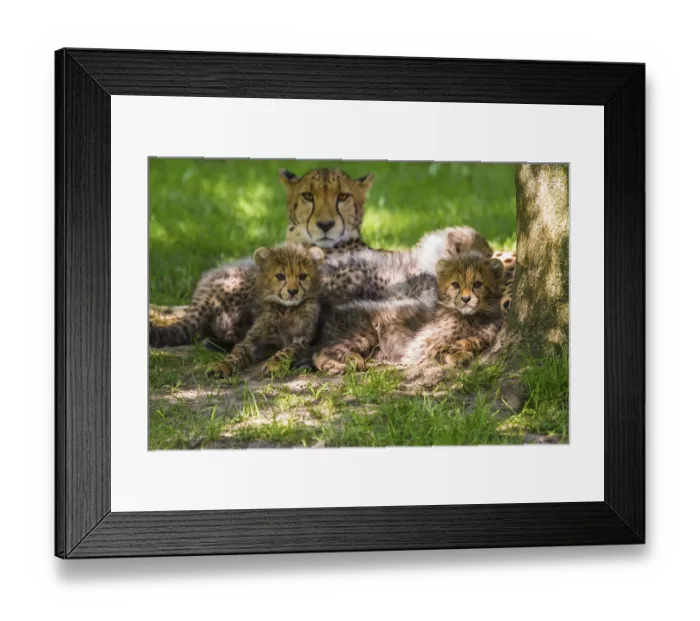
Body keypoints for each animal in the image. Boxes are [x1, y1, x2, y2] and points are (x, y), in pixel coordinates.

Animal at [207, 245, 324, 379]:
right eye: (280, 276)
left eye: (303, 276)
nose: (293, 291)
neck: (285, 310)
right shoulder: (252, 339)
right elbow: (237, 353)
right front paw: (222, 365)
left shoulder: (303, 340)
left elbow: (286, 351)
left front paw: (273, 364)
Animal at [312, 251, 505, 374]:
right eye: (455, 285)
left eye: (478, 284)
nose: (466, 299)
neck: (472, 318)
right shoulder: (422, 343)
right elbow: (441, 346)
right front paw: (459, 355)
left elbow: (477, 340)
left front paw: (465, 345)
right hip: (365, 333)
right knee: (320, 352)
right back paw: (335, 366)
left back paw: (352, 360)